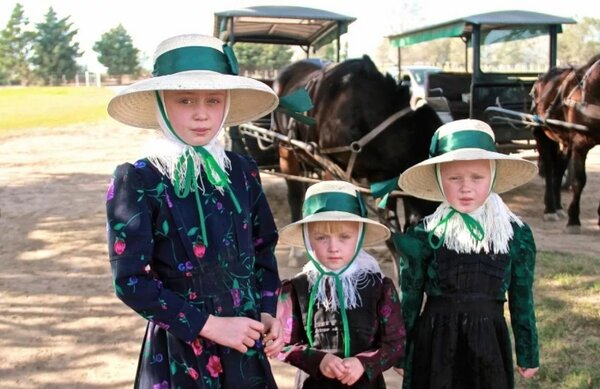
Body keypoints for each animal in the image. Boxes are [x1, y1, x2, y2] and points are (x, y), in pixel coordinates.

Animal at [528, 53, 600, 232]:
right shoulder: (580, 143)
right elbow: (579, 180)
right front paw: (573, 219)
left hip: (564, 140)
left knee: (559, 170)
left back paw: (558, 206)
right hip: (542, 135)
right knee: (548, 169)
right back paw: (550, 209)